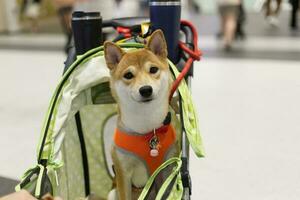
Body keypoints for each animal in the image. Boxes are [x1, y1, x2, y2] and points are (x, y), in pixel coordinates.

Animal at [103, 30, 178, 200]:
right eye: (128, 75)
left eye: (153, 70)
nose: (145, 89)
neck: (146, 130)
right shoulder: (123, 173)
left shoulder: (166, 169)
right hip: (112, 193)